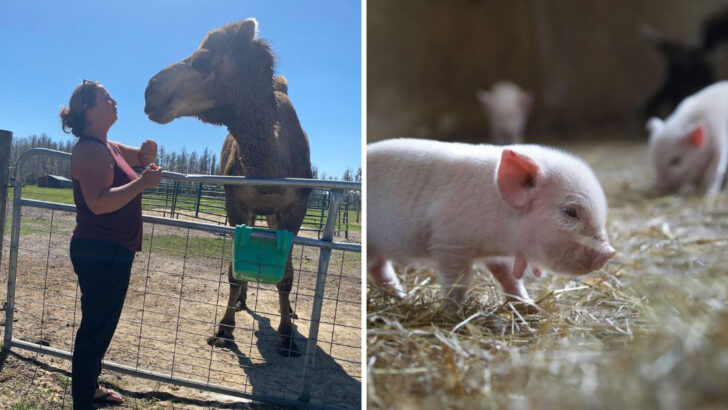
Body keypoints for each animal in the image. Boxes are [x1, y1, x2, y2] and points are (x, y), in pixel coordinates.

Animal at [144, 19, 313, 356]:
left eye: (203, 58)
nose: (150, 91)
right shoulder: (236, 203)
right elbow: (234, 272)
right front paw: (224, 329)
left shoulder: (295, 208)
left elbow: (286, 276)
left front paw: (287, 338)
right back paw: (243, 302)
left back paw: (290, 311)